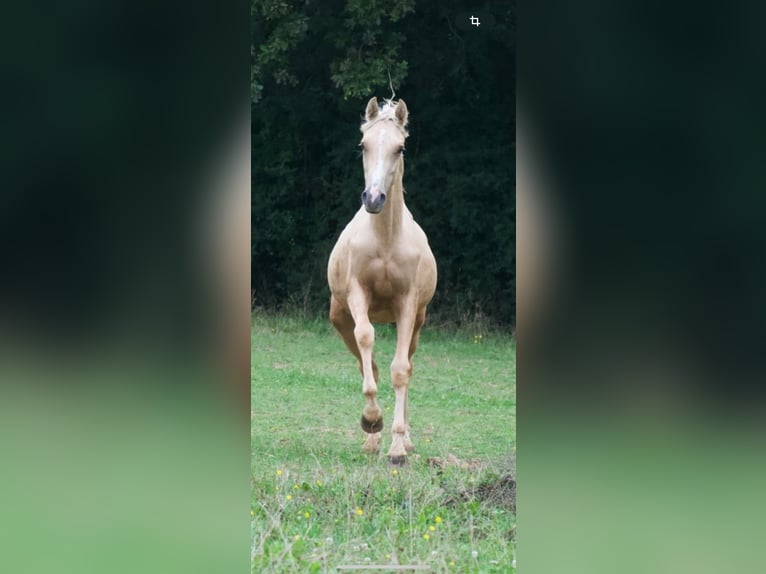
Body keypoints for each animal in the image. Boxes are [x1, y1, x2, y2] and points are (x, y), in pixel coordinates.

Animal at [328, 98, 440, 468]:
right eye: (363, 145)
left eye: (399, 147)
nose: (374, 198)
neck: (386, 240)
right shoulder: (357, 296)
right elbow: (367, 344)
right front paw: (371, 421)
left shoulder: (407, 303)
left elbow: (401, 370)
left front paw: (397, 449)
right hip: (340, 319)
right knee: (370, 363)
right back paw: (371, 440)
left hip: (418, 322)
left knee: (407, 366)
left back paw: (402, 440)